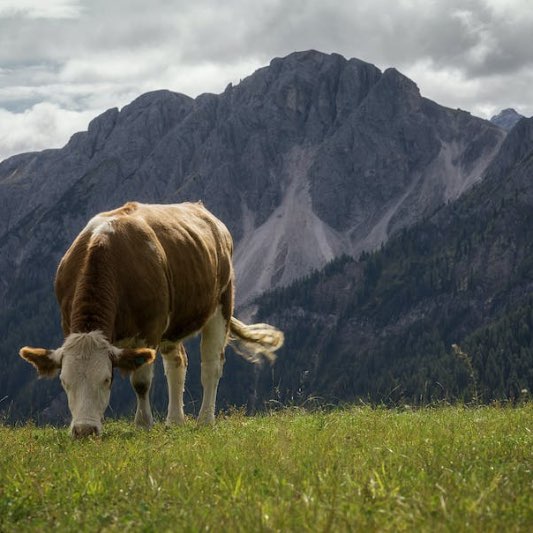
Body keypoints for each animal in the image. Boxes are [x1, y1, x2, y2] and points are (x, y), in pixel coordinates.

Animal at [19, 202, 284, 438]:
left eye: (106, 380)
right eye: (64, 382)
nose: (84, 431)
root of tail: (201, 209)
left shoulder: (149, 330)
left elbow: (141, 382)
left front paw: (143, 424)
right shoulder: (67, 324)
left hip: (221, 305)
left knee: (211, 365)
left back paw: (205, 420)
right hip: (173, 325)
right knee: (177, 362)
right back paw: (175, 420)